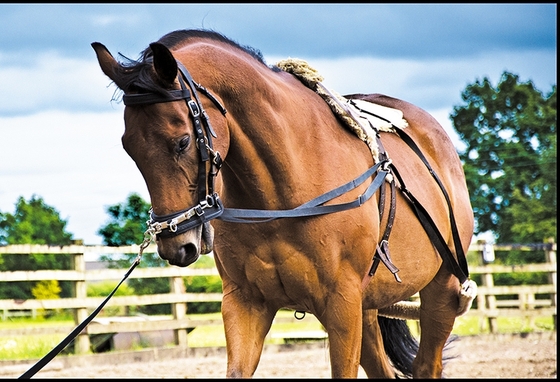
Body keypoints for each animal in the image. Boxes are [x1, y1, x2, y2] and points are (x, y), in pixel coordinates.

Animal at [93, 28, 476, 378]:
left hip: (441, 292)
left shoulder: (342, 304)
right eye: (129, 147)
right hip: (367, 310)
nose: (176, 245)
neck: (280, 197)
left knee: (427, 365)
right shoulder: (245, 303)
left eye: (183, 141)